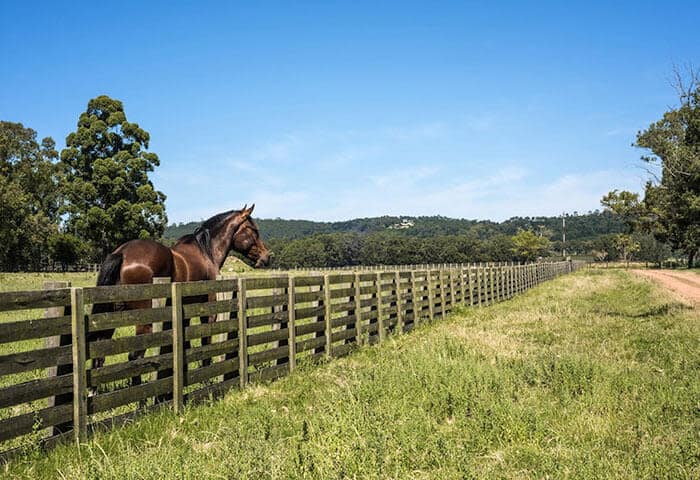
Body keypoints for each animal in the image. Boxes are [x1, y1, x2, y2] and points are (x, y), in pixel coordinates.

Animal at [90, 204, 271, 387]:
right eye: (254, 230)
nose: (266, 257)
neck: (206, 252)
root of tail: (123, 254)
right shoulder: (208, 311)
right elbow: (206, 342)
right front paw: (205, 380)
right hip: (144, 321)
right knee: (135, 356)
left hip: (112, 316)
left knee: (99, 357)